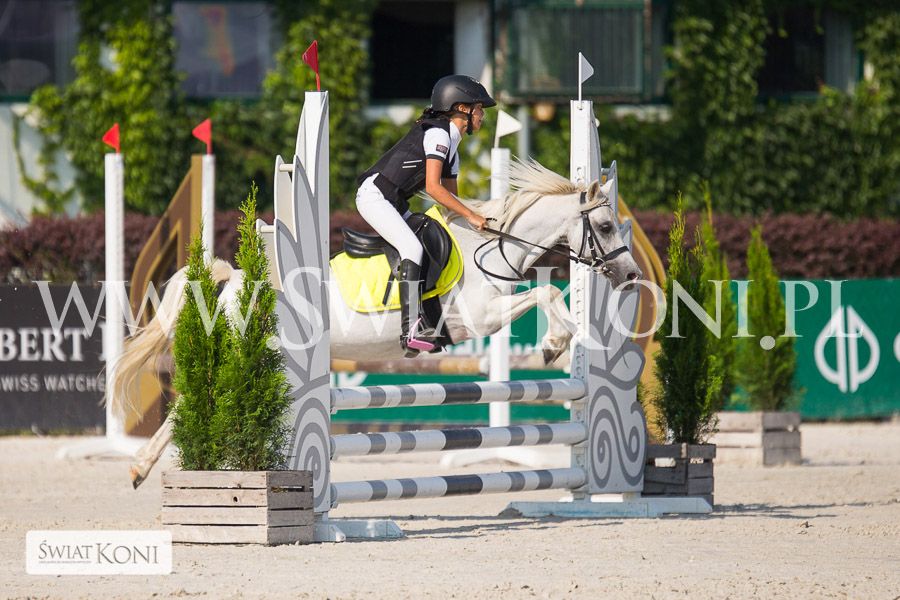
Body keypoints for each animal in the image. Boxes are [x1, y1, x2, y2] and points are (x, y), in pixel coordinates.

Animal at [111, 158, 642, 487]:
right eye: (606, 226)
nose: (632, 275)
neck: (491, 247)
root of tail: (235, 280)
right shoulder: (477, 319)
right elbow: (547, 293)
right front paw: (553, 344)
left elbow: (548, 295)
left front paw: (556, 343)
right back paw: (140, 468)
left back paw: (141, 468)